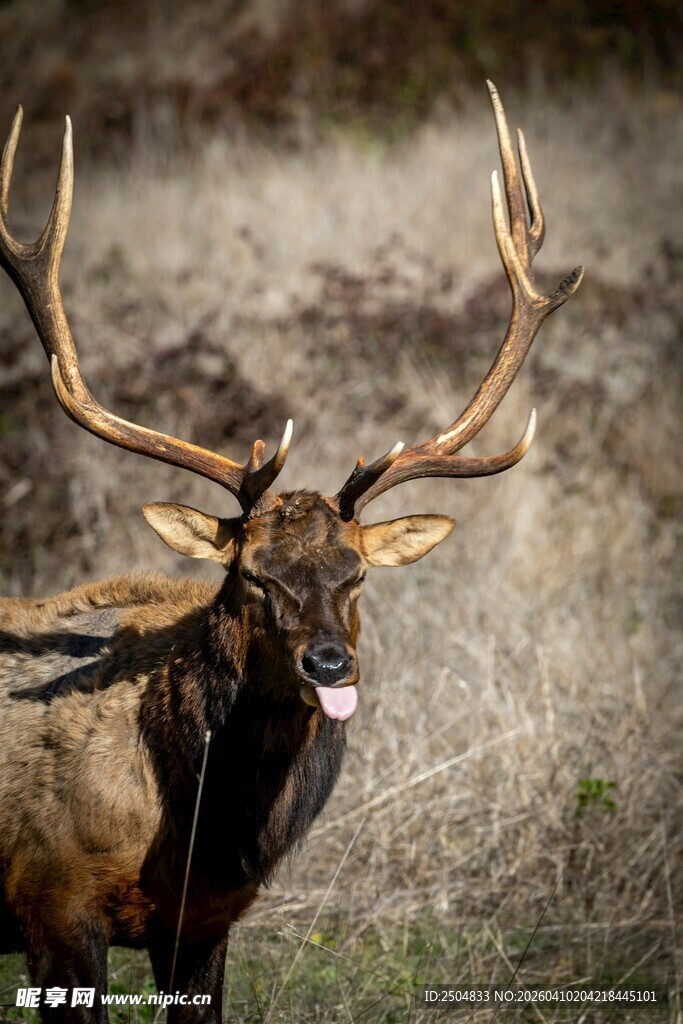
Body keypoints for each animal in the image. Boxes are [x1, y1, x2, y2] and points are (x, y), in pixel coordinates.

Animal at [0, 82, 582, 1023]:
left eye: (358, 574)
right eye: (250, 576)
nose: (329, 663)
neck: (199, 830)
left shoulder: (203, 923)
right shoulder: (50, 900)